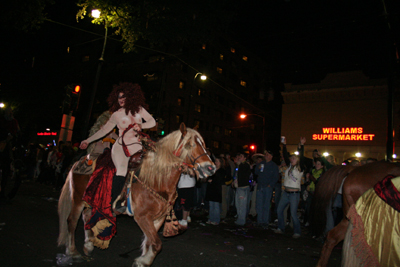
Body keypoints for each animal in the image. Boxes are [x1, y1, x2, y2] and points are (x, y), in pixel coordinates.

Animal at [56, 124, 216, 267]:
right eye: (189, 145)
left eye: (203, 144)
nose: (211, 168)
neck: (157, 180)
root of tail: (80, 160)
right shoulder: (142, 216)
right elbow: (156, 243)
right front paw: (143, 260)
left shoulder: (158, 218)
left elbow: (151, 243)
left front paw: (144, 260)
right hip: (77, 199)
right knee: (71, 221)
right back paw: (73, 252)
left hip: (90, 200)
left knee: (87, 217)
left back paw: (88, 245)